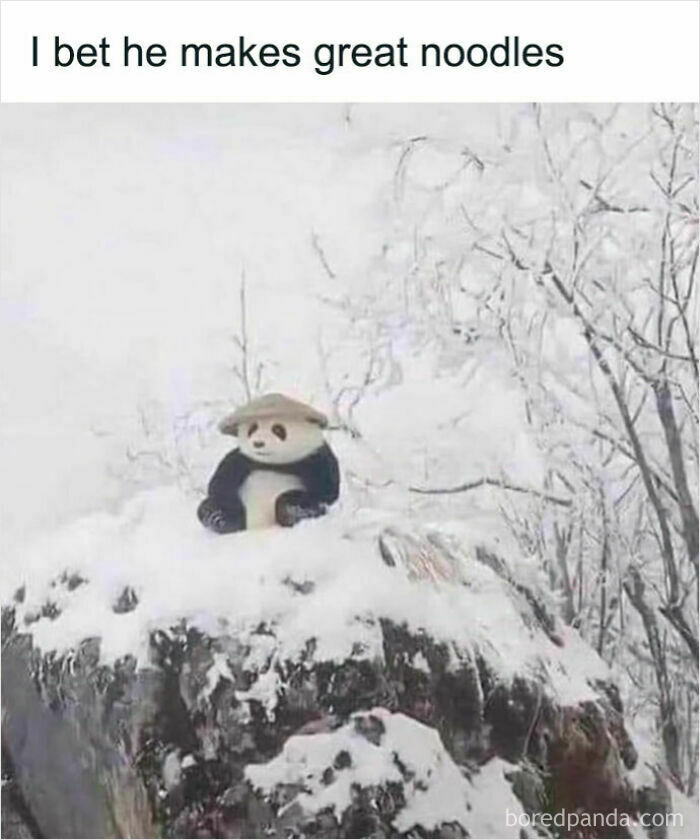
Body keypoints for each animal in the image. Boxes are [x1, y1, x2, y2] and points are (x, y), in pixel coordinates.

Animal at [197, 393, 340, 533]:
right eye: (252, 428)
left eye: (277, 429)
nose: (258, 443)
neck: (274, 463)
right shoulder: (243, 460)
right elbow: (220, 484)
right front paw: (218, 515)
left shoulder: (314, 458)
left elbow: (325, 491)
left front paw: (293, 509)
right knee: (207, 507)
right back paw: (218, 518)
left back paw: (293, 512)